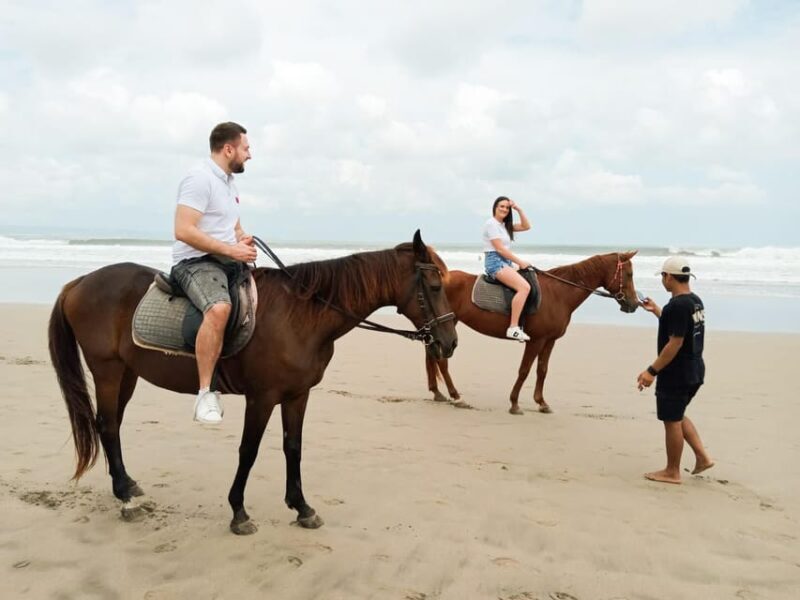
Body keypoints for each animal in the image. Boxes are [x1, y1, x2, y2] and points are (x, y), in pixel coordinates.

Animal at [48, 231, 457, 535]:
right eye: (435, 285)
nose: (450, 342)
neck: (302, 315)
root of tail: (80, 282)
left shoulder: (297, 395)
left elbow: (293, 447)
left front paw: (301, 507)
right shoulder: (261, 398)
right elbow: (249, 450)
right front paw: (239, 512)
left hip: (128, 373)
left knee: (112, 425)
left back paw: (127, 486)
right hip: (108, 370)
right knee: (107, 425)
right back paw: (125, 497)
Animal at [425, 251, 639, 414]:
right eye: (629, 274)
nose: (634, 304)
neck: (559, 293)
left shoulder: (550, 340)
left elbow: (542, 370)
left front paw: (542, 403)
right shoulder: (536, 340)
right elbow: (524, 370)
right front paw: (514, 403)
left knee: (431, 355)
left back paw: (437, 393)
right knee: (441, 360)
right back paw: (455, 396)